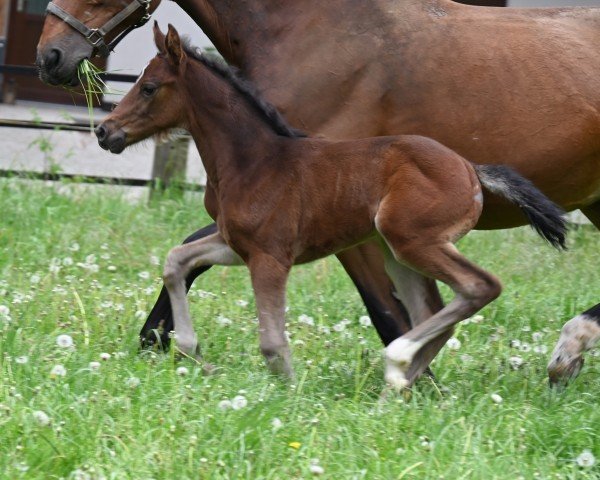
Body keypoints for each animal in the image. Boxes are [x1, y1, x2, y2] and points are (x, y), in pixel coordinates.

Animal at [37, 0, 600, 382]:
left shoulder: (281, 250)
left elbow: (321, 325)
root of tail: (472, 168)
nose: (50, 56)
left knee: (471, 291)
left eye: (149, 87)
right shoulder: (241, 241)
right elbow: (181, 257)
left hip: (408, 240)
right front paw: (177, 345)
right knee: (442, 306)